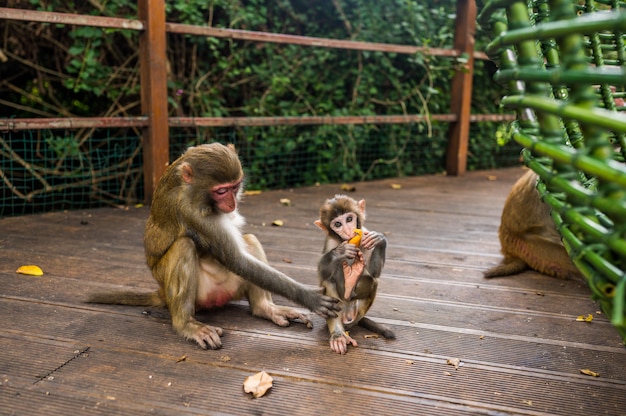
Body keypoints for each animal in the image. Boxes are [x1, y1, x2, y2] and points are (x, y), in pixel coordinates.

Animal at [312, 195, 394, 354]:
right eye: (338, 224)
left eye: (349, 219)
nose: (348, 230)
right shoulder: (331, 241)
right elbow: (323, 274)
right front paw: (340, 252)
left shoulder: (365, 234)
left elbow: (374, 272)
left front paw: (380, 239)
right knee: (328, 282)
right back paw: (339, 334)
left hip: (354, 310)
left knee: (372, 281)